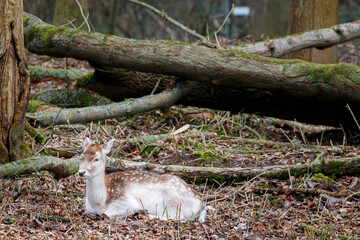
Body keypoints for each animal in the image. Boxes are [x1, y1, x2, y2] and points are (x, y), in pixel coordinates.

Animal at [77, 138, 207, 222]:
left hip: (173, 200)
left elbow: (105, 214)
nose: (81, 172)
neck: (100, 202)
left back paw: (150, 215)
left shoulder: (127, 202)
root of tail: (201, 205)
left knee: (179, 217)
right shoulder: (88, 209)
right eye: (81, 157)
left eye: (96, 159)